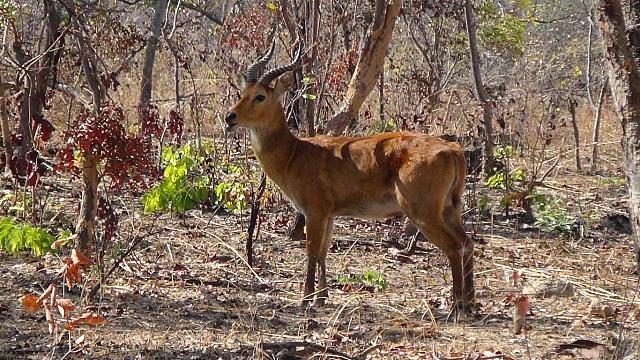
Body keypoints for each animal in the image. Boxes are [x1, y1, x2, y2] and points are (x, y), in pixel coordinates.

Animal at [226, 41, 476, 310]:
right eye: (241, 93)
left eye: (260, 96)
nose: (230, 116)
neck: (295, 153)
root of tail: (453, 149)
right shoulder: (329, 215)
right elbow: (323, 251)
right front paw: (322, 297)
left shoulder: (315, 211)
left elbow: (311, 250)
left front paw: (306, 299)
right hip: (450, 209)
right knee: (468, 243)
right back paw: (471, 302)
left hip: (423, 213)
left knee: (454, 247)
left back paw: (456, 305)